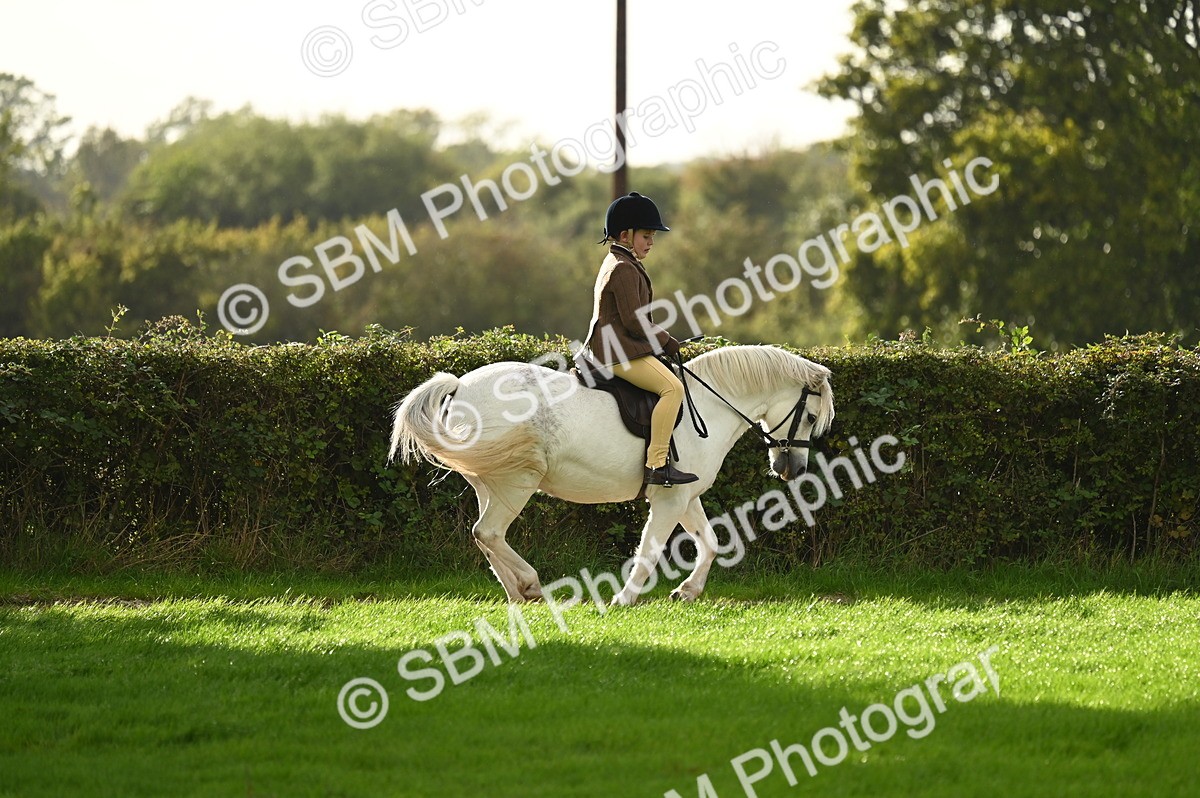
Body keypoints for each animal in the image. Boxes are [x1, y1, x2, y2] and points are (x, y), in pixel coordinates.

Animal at [388, 345, 834, 605]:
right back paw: (531, 584)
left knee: (485, 535)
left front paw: (687, 591)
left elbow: (710, 543)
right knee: (489, 532)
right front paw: (625, 598)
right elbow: (650, 550)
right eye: (811, 417)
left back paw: (519, 591)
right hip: (516, 481)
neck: (709, 405)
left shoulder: (685, 497)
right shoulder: (669, 498)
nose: (792, 469)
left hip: (491, 483)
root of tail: (460, 386)